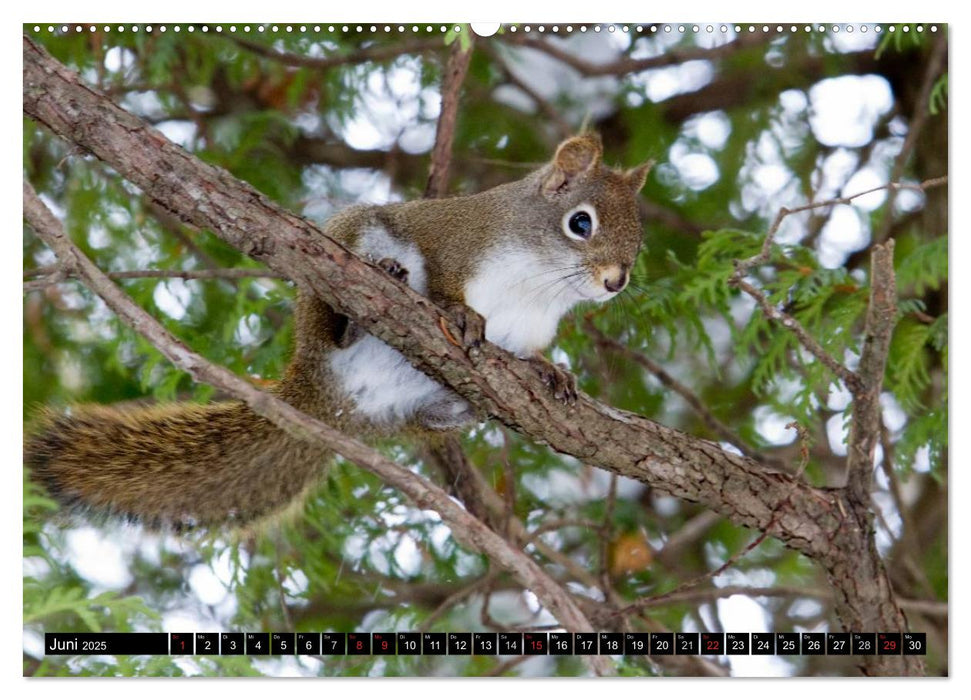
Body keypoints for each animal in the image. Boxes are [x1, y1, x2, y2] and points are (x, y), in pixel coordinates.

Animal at [26, 134, 652, 532]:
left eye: (640, 235)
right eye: (580, 222)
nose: (616, 281)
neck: (540, 283)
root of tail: (327, 397)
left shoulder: (531, 329)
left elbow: (532, 355)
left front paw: (553, 371)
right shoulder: (456, 239)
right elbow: (448, 282)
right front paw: (461, 313)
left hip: (420, 409)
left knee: (439, 416)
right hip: (352, 244)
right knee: (344, 316)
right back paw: (364, 308)